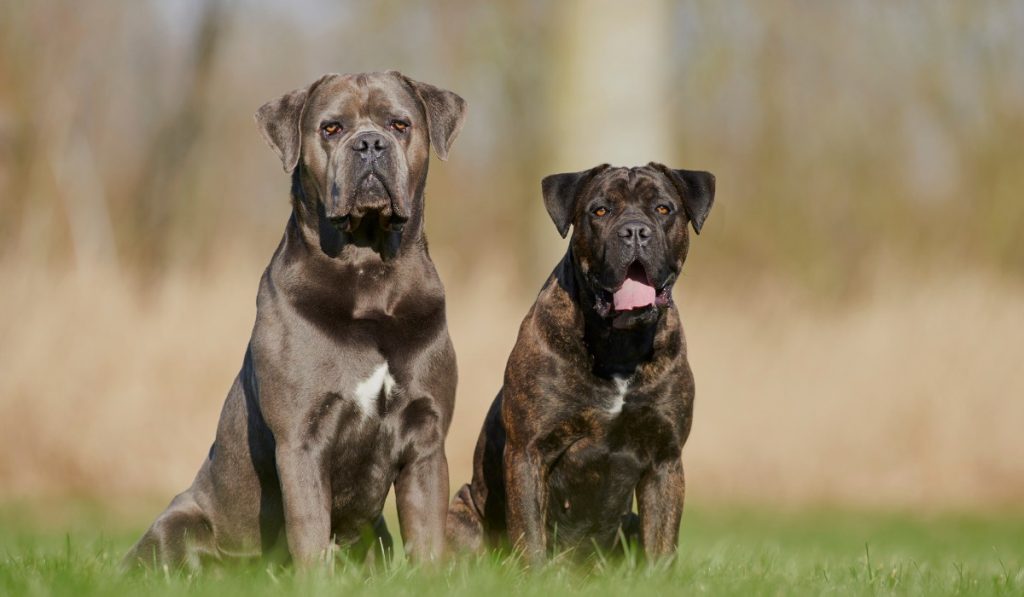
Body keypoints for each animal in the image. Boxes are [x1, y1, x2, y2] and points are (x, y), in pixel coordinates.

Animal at [122, 72, 468, 573]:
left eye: (399, 124)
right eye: (331, 128)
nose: (369, 144)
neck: (369, 272)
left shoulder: (426, 437)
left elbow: (426, 533)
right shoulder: (301, 437)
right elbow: (309, 528)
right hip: (178, 522)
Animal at [444, 160, 716, 561]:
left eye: (663, 209)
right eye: (599, 211)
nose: (635, 231)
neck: (619, 345)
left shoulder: (665, 460)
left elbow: (662, 544)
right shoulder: (528, 453)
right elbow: (530, 535)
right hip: (460, 512)